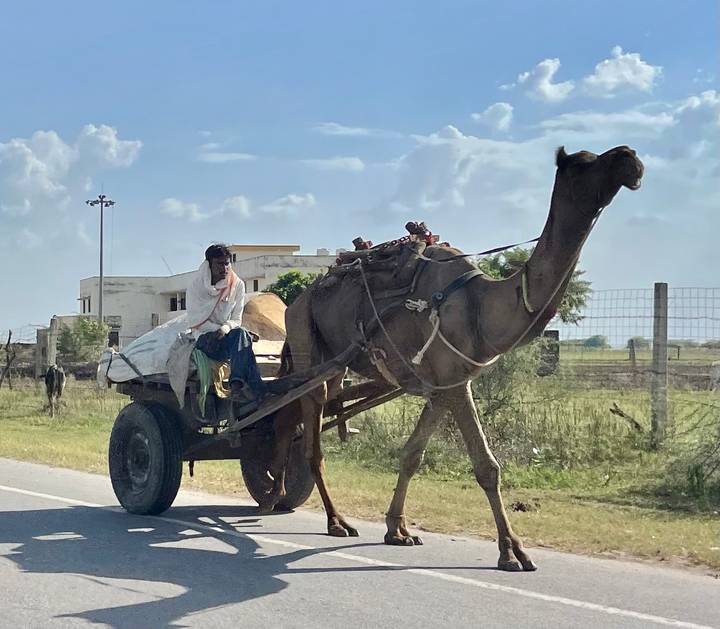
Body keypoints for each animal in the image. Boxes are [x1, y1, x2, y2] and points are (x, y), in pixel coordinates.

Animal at [265, 145, 644, 572]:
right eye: (584, 162)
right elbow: (487, 466)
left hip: (329, 364)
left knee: (288, 417)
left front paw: (398, 530)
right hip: (306, 341)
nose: (630, 157)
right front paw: (512, 551)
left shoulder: (442, 384)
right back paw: (333, 519)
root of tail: (295, 301)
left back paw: (277, 493)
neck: (481, 305)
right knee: (309, 440)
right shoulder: (454, 379)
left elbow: (412, 454)